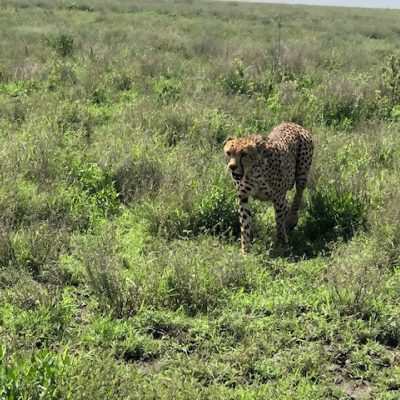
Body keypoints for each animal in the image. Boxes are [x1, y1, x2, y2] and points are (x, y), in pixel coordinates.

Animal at [225, 122, 312, 253]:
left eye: (244, 154)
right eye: (228, 153)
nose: (232, 167)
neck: (253, 172)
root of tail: (292, 123)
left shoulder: (279, 198)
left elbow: (279, 222)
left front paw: (281, 244)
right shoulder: (243, 196)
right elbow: (245, 223)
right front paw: (246, 250)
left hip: (302, 175)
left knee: (298, 195)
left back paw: (292, 218)